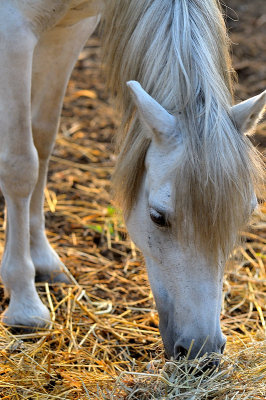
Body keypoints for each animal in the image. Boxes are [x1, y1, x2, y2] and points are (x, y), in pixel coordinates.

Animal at [0, 0, 266, 360]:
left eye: (246, 215)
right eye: (157, 216)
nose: (202, 351)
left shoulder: (69, 29)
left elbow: (41, 141)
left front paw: (41, 257)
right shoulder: (13, 30)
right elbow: (20, 164)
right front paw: (25, 303)